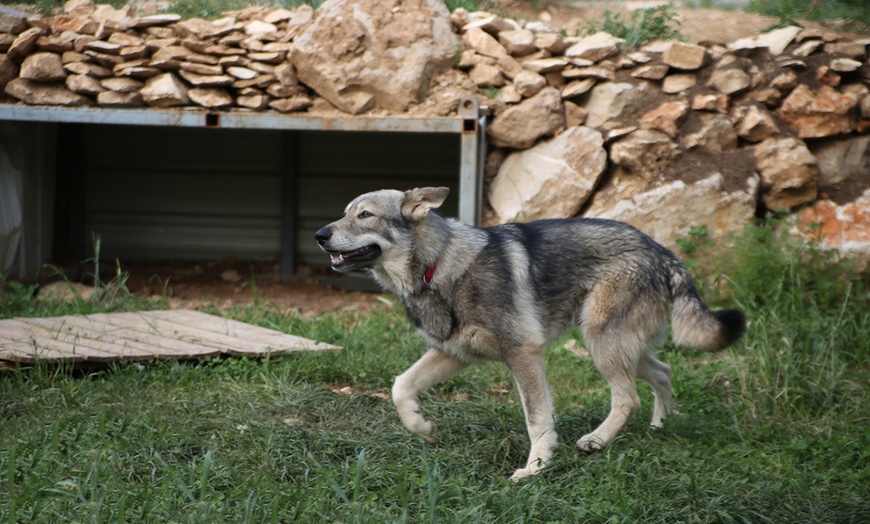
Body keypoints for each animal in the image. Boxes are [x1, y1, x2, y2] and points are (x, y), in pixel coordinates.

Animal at [316, 186, 744, 482]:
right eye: (344, 214)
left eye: (365, 215)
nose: (320, 234)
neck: (437, 267)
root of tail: (662, 251)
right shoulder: (454, 353)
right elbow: (400, 386)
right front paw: (422, 427)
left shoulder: (523, 353)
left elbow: (537, 420)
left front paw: (536, 468)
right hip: (623, 348)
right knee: (663, 373)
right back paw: (660, 426)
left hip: (602, 345)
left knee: (628, 399)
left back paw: (597, 441)